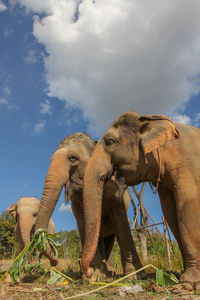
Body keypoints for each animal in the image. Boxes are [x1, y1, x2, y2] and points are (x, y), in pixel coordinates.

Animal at [34, 132, 144, 278]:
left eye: (73, 158)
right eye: (50, 160)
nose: (54, 262)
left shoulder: (113, 190)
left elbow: (119, 218)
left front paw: (135, 276)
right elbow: (82, 222)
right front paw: (92, 277)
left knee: (110, 239)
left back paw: (110, 271)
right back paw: (104, 271)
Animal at [81, 110, 200, 288]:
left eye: (109, 141)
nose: (89, 272)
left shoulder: (187, 167)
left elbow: (188, 209)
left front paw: (189, 282)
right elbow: (170, 213)